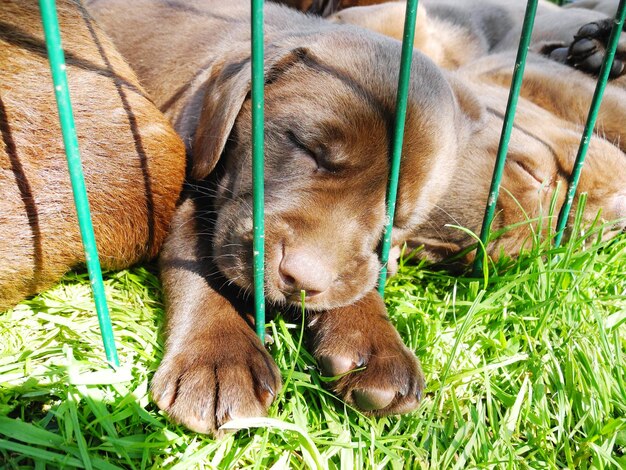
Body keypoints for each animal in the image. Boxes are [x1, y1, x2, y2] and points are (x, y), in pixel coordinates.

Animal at [85, 0, 482, 436]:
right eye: (307, 147)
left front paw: (374, 341)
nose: (302, 280)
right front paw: (218, 362)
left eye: (399, 218)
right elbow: (196, 266)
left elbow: (360, 279)